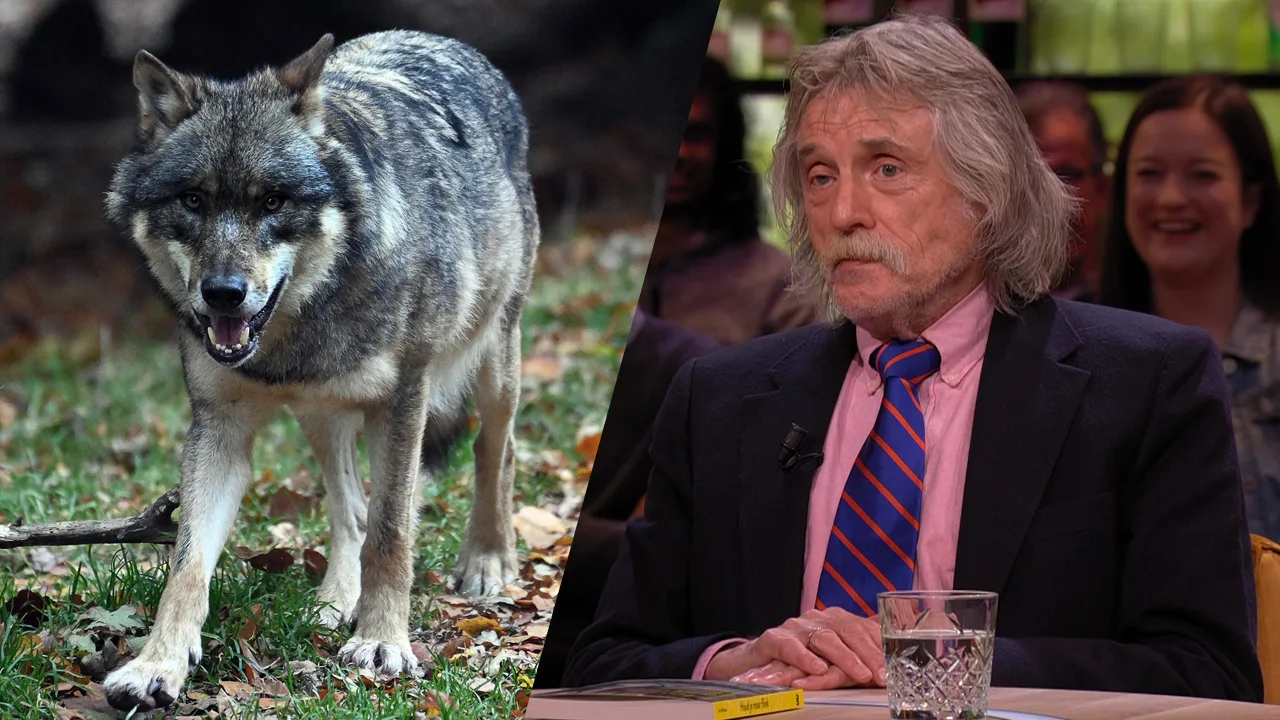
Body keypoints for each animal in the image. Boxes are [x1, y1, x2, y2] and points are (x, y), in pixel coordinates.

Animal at [98, 31, 539, 711]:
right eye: (193, 200)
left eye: (273, 201)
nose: (222, 294)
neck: (298, 332)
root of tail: (442, 41)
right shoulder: (219, 428)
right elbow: (187, 566)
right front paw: (157, 665)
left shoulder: (403, 402)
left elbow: (392, 534)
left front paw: (383, 643)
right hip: (321, 417)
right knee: (350, 505)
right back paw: (334, 602)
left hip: (494, 363)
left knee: (498, 449)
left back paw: (488, 561)